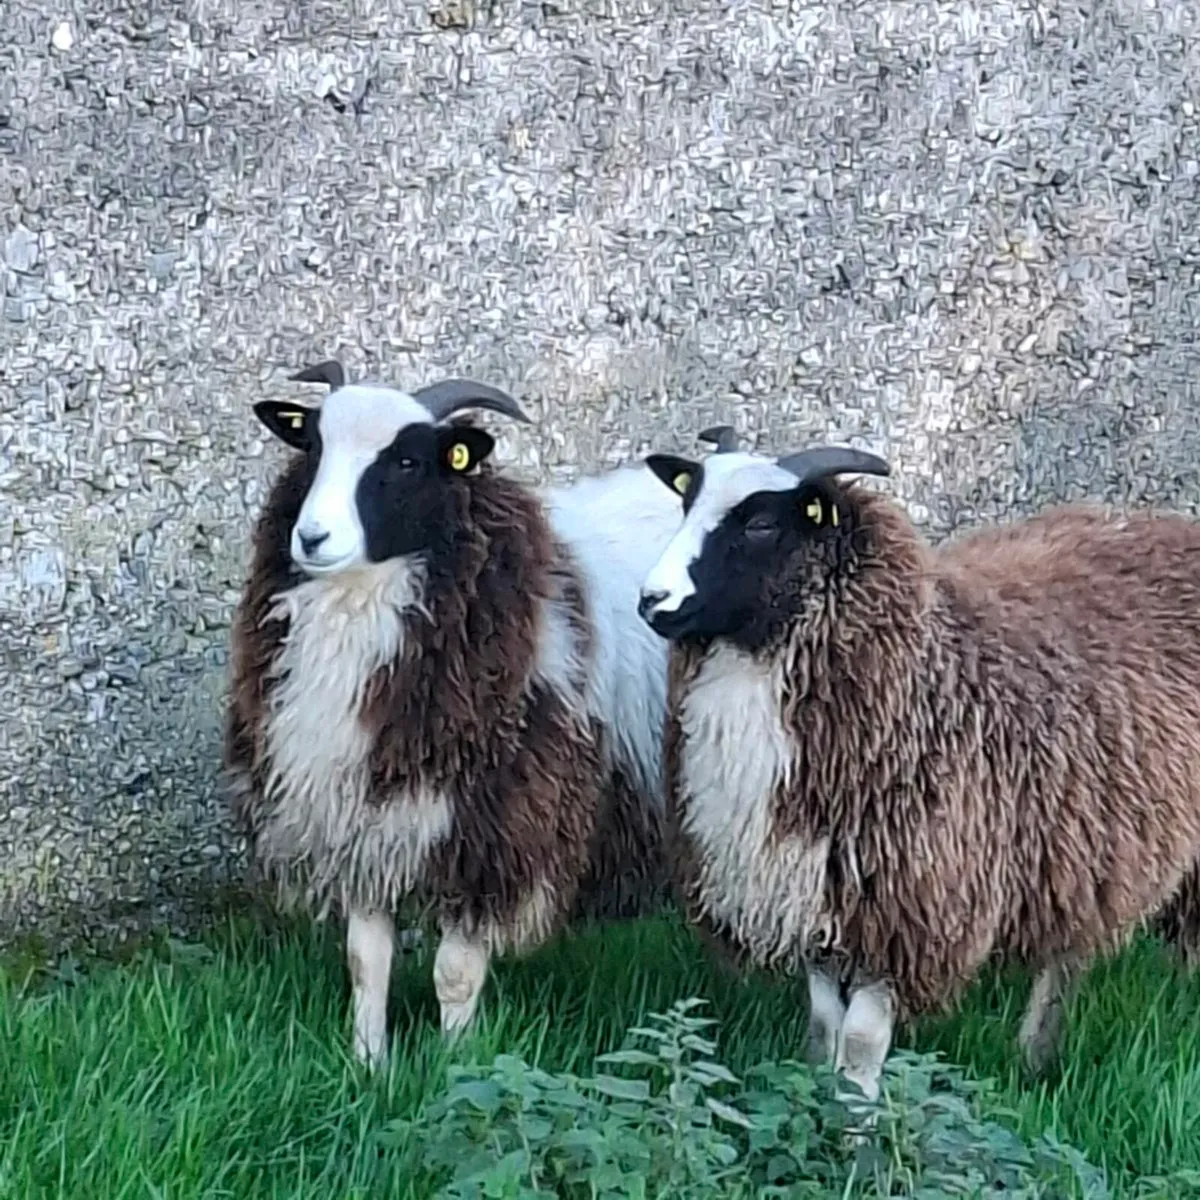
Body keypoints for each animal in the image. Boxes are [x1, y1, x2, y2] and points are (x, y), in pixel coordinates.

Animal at [223, 359, 679, 1067]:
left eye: (408, 460)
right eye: (314, 446)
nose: (311, 538)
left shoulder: (496, 829)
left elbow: (455, 972)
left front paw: (456, 1066)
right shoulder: (367, 819)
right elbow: (366, 960)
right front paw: (369, 1062)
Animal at [634, 424, 1200, 1102]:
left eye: (763, 523)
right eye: (687, 503)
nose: (652, 601)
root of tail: (1169, 525)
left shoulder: (907, 908)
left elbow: (858, 1045)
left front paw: (851, 1127)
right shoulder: (817, 897)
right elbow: (822, 1030)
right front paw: (812, 1103)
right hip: (1088, 842)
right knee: (1070, 949)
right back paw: (1035, 1054)